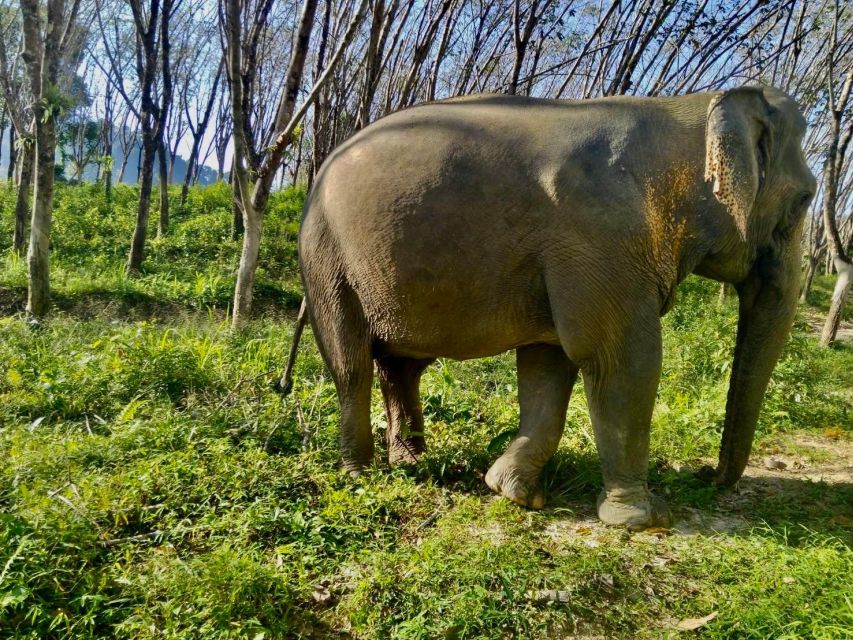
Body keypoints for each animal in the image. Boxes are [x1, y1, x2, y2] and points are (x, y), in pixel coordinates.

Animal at [296, 87, 816, 532]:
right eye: (805, 200)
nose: (704, 473)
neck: (685, 107)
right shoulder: (600, 235)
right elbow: (619, 359)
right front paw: (644, 519)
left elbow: (550, 361)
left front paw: (514, 493)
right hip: (326, 257)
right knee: (351, 365)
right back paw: (360, 474)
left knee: (401, 367)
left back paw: (411, 462)